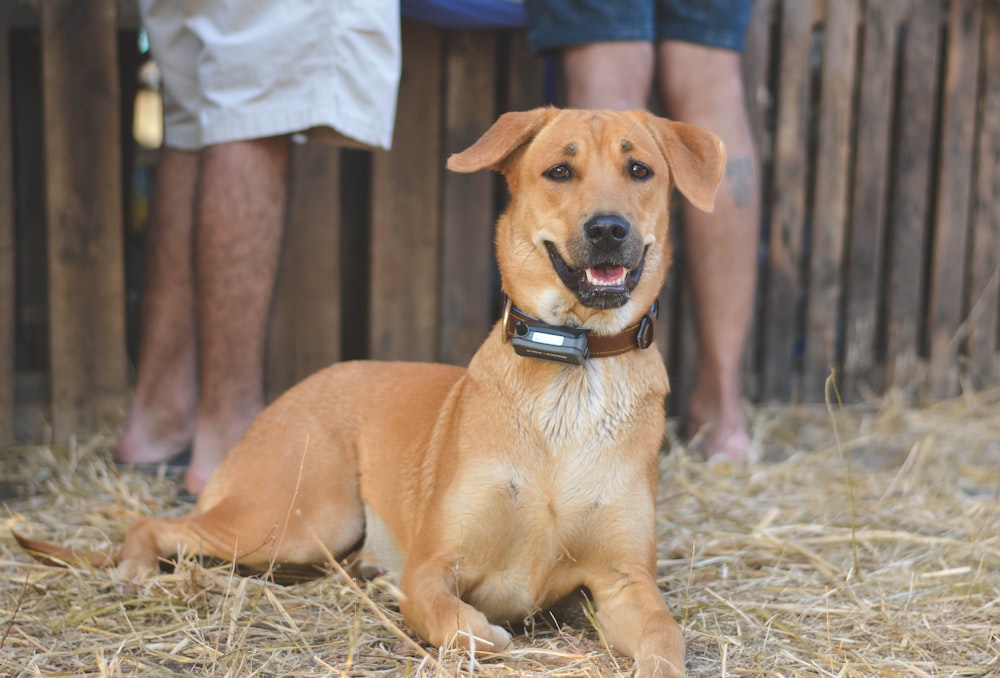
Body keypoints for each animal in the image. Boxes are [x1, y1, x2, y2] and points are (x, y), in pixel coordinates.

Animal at [19, 109, 724, 676]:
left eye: (639, 170)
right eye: (559, 171)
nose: (609, 229)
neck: (572, 371)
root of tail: (295, 391)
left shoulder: (625, 582)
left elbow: (666, 634)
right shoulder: (433, 565)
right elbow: (456, 620)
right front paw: (473, 630)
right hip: (297, 520)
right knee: (155, 524)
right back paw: (137, 568)